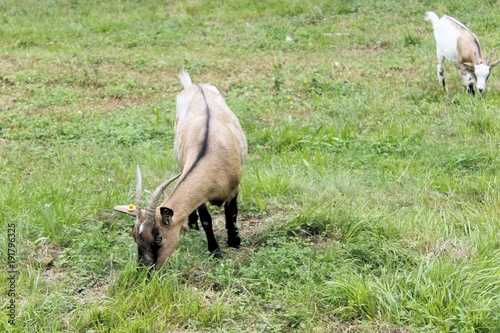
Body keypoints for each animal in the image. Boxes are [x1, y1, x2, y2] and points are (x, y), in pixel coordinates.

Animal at [113, 71, 246, 268]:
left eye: (158, 238)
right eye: (134, 236)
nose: (145, 270)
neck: (213, 160)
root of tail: (194, 85)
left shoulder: (234, 189)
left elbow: (232, 215)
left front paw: (233, 242)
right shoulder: (201, 196)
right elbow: (206, 220)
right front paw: (214, 250)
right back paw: (192, 224)